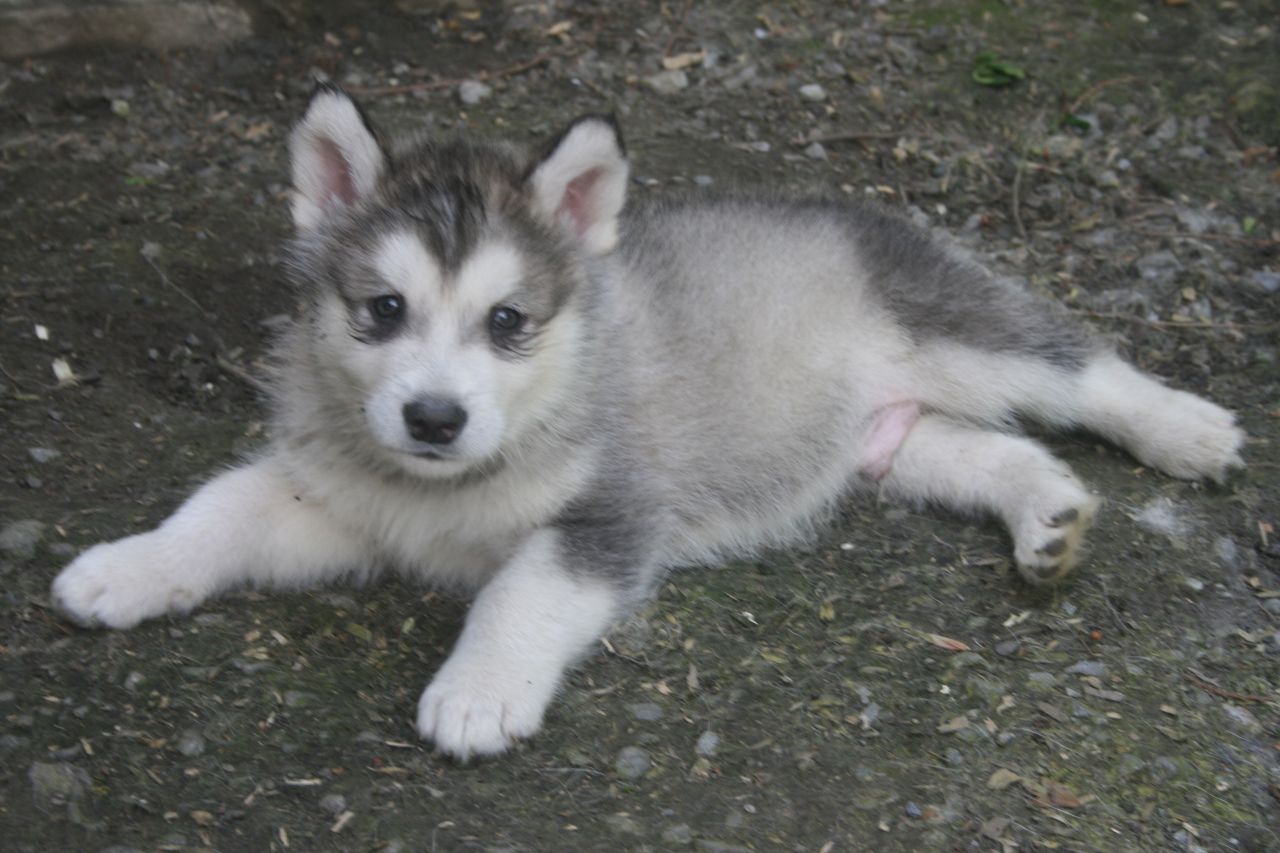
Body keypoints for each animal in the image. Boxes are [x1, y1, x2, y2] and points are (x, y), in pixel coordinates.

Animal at [52, 84, 1239, 758]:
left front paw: (476, 692)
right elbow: (221, 505)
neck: (446, 488)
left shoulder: (611, 512)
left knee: (1082, 370)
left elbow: (524, 589)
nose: (432, 418)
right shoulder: (333, 492)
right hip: (883, 443)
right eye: (382, 309)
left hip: (961, 324)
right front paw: (128, 566)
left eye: (507, 321)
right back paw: (1049, 521)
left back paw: (1188, 430)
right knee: (989, 446)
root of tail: (856, 207)